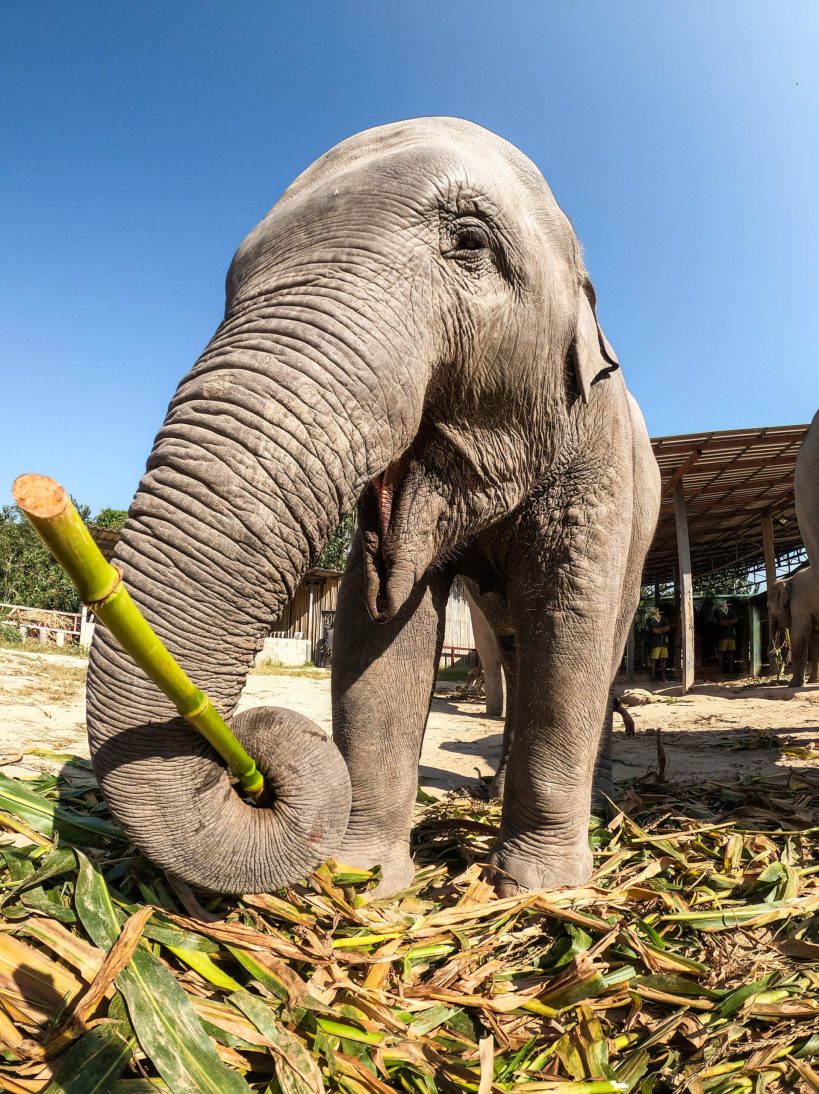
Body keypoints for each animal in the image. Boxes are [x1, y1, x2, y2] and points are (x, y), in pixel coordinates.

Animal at [84, 115, 656, 897]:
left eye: (470, 241)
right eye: (230, 281)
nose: (248, 775)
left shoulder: (596, 457)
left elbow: (569, 620)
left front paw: (538, 890)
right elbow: (377, 630)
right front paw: (365, 880)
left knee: (593, 644)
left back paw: (590, 808)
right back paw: (489, 792)